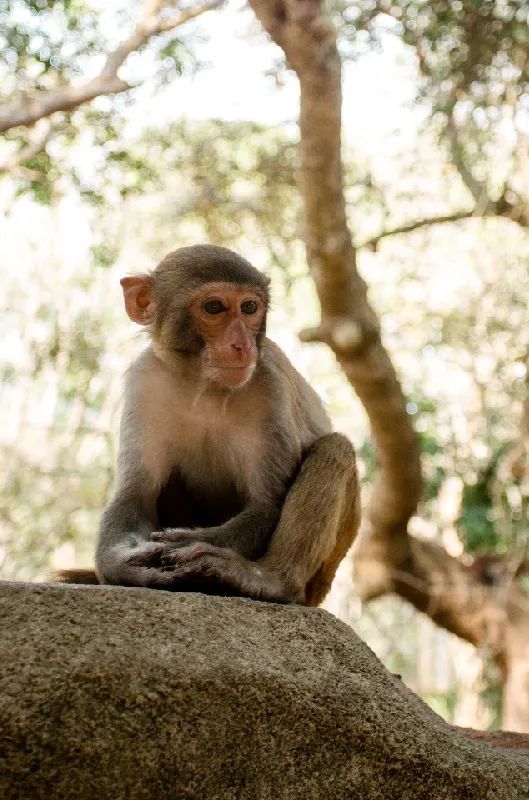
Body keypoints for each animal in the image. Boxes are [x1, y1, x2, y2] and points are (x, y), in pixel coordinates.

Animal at [57, 245, 360, 608]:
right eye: (214, 307)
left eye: (249, 308)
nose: (242, 345)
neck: (203, 384)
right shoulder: (146, 380)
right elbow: (135, 495)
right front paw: (122, 565)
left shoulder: (270, 384)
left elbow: (267, 504)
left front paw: (187, 542)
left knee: (335, 448)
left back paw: (269, 580)